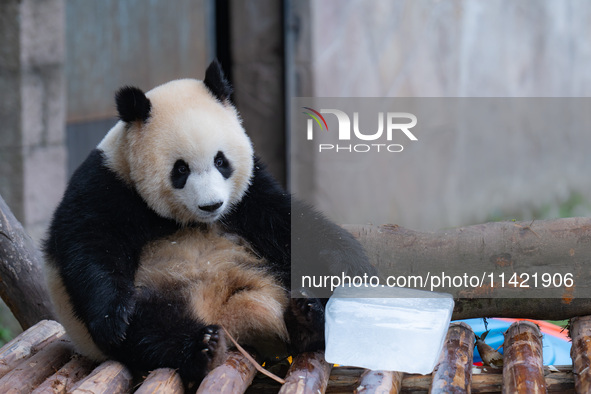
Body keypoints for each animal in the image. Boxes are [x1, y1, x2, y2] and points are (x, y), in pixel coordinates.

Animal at [44, 60, 372, 386]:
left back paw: (309, 318)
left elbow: (287, 220)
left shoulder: (249, 193)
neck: (186, 220)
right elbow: (91, 246)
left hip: (269, 267)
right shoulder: (105, 185)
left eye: (220, 161)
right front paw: (113, 319)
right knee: (151, 330)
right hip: (157, 291)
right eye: (180, 169)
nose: (212, 205)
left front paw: (350, 263)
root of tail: (227, 316)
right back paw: (203, 348)